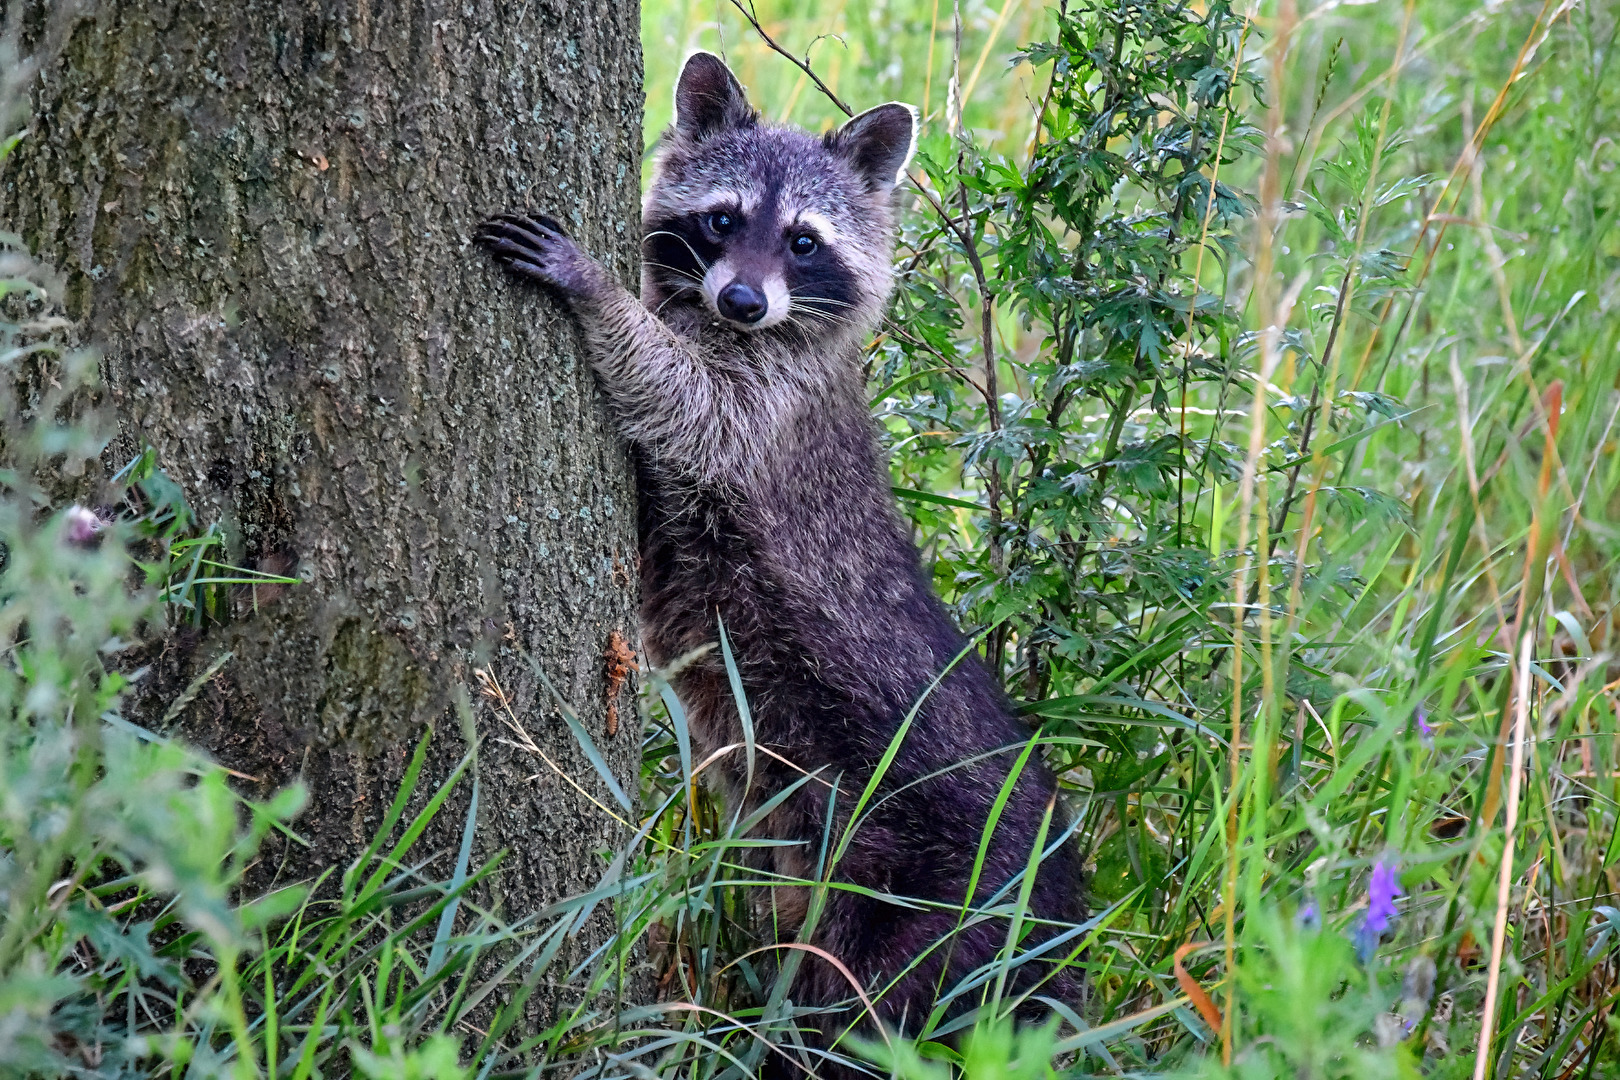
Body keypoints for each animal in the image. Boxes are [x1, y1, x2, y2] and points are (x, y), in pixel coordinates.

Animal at [479, 48, 1088, 1062]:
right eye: (723, 220)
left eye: (804, 242)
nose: (742, 297)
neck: (746, 325)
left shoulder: (769, 412)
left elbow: (685, 399)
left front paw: (600, 291)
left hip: (930, 903)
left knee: (862, 1014)